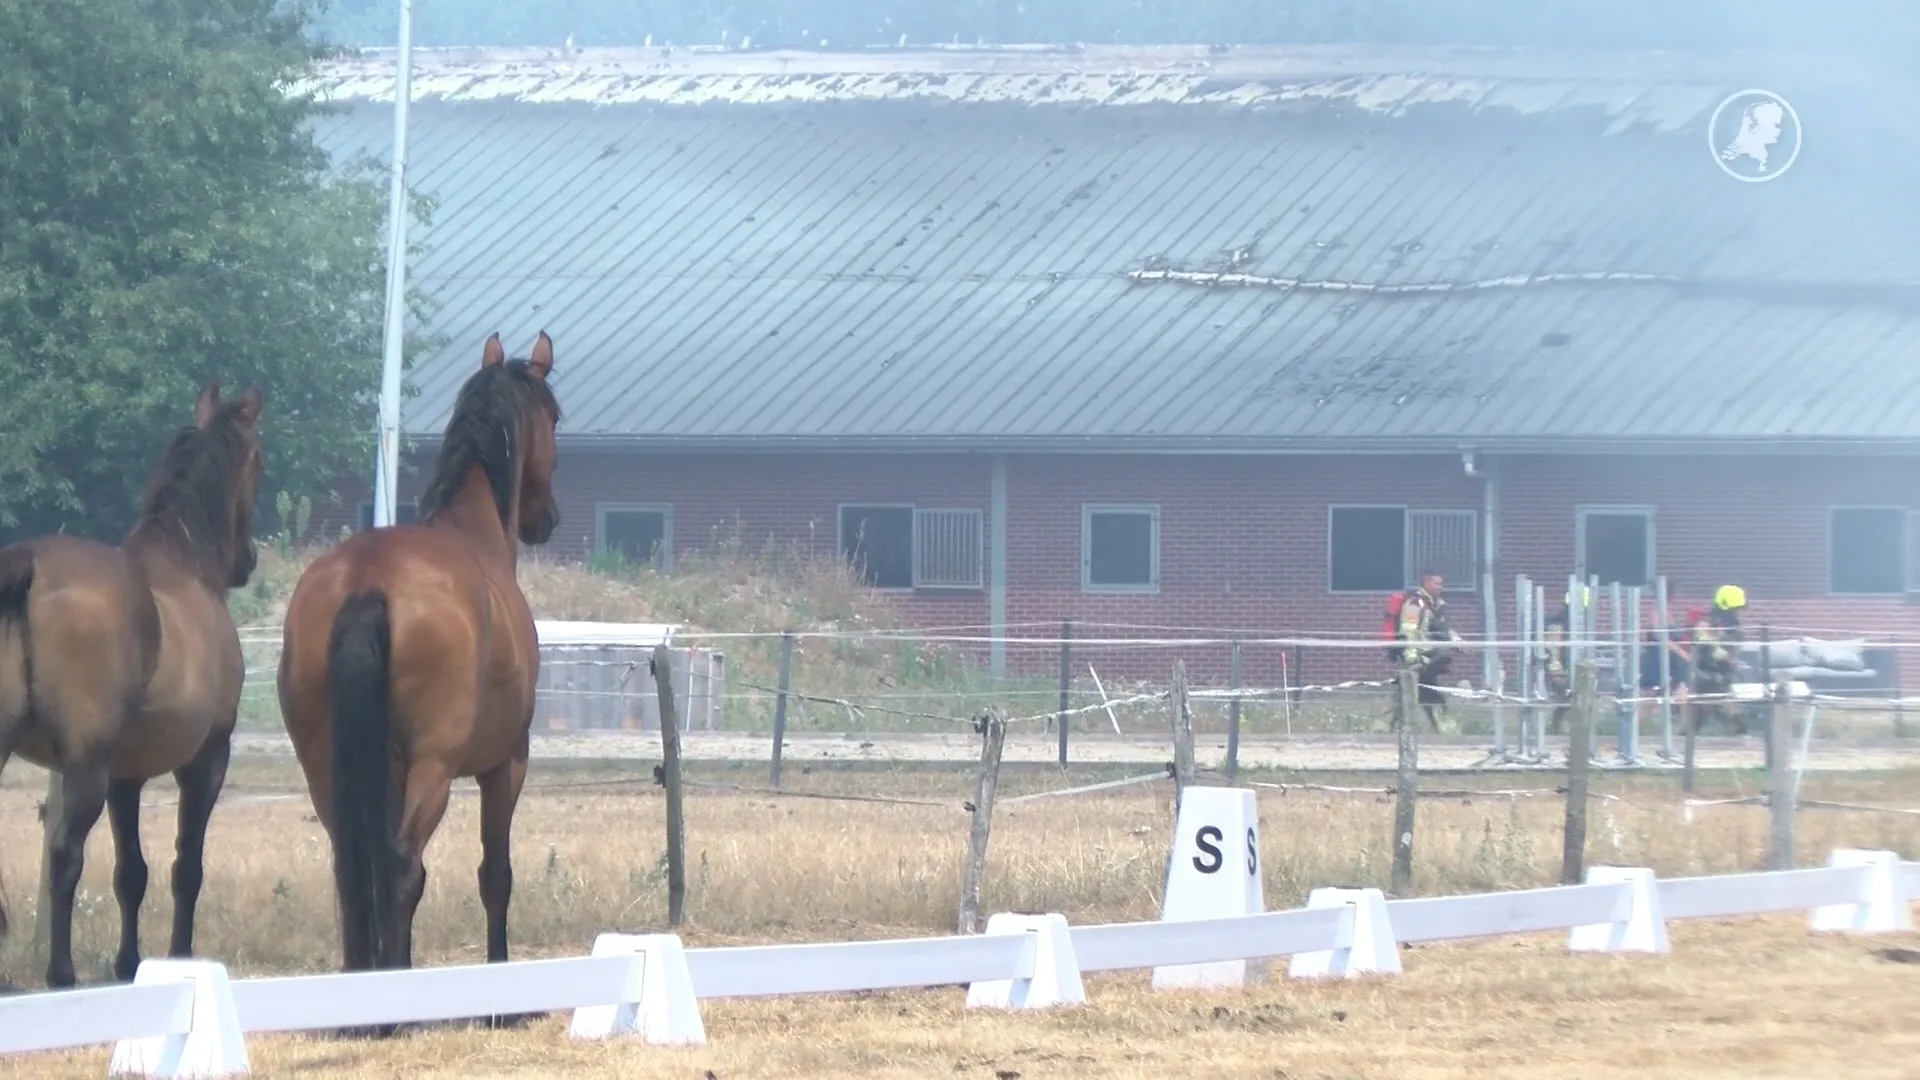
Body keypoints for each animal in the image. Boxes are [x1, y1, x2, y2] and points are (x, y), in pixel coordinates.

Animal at [0, 381, 265, 988]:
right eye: (258, 461)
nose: (249, 560)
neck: (184, 564)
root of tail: (28, 564)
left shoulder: (127, 775)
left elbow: (131, 873)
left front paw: (128, 964)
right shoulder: (207, 759)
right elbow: (186, 865)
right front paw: (179, 956)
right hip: (86, 767)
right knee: (66, 854)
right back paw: (61, 973)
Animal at [277, 332, 560, 995]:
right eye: (555, 417)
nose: (547, 518)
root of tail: (366, 581)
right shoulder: (507, 763)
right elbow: (495, 873)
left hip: (326, 764)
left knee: (352, 865)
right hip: (434, 767)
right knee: (403, 866)